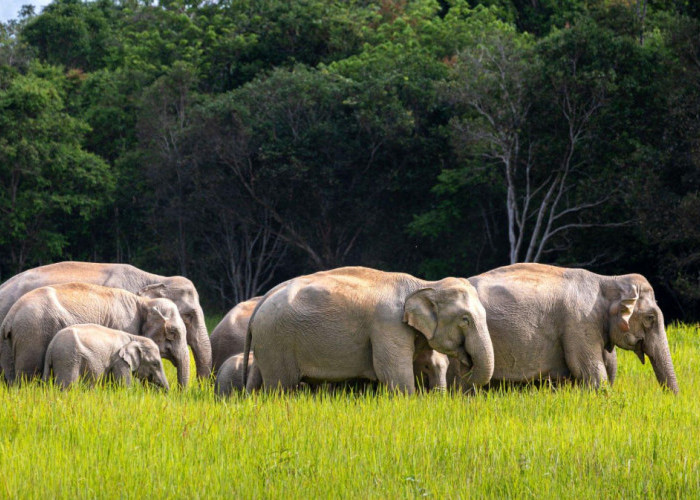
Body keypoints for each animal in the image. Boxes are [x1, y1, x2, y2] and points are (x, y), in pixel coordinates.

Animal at [42, 324, 171, 390]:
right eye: (155, 364)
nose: (166, 393)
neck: (134, 338)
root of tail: (51, 345)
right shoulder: (120, 360)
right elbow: (124, 385)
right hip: (68, 358)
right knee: (68, 385)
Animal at [243, 266, 494, 394]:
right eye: (465, 319)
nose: (467, 362)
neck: (425, 284)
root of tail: (263, 299)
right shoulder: (388, 326)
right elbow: (394, 373)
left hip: (267, 343)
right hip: (276, 341)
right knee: (280, 387)